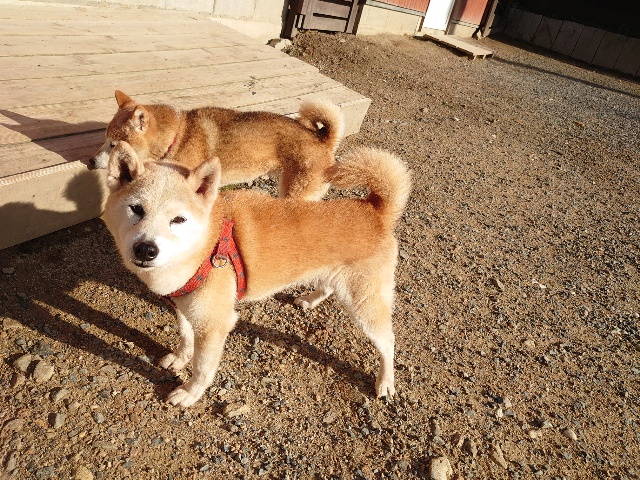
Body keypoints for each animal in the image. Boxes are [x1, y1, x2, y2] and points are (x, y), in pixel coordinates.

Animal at [102, 141, 411, 407]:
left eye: (178, 220)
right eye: (136, 209)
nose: (146, 249)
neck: (204, 247)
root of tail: (375, 209)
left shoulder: (215, 324)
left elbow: (202, 368)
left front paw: (189, 393)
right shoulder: (185, 309)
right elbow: (185, 337)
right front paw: (180, 357)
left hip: (364, 305)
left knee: (388, 341)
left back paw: (385, 382)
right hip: (335, 278)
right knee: (328, 287)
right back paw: (309, 300)